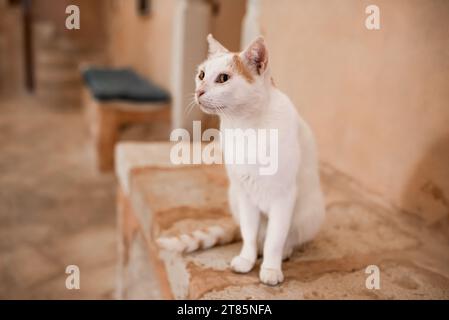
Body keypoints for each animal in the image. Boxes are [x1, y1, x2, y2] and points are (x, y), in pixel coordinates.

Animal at [159, 34, 324, 284]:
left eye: (223, 78)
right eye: (202, 75)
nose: (199, 91)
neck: (245, 127)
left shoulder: (283, 197)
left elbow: (275, 239)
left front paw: (271, 268)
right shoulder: (245, 194)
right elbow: (248, 233)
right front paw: (247, 259)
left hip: (310, 213)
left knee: (288, 237)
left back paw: (284, 251)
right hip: (234, 196)